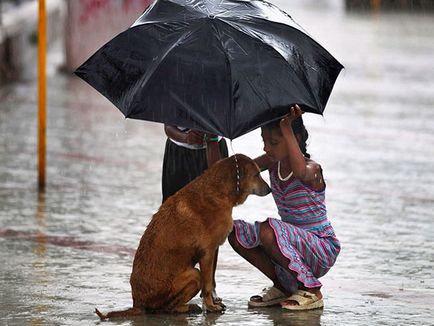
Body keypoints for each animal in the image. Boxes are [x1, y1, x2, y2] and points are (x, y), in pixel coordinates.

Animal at [96, 154, 270, 320]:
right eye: (256, 174)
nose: (269, 189)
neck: (218, 190)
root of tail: (137, 304)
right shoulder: (207, 253)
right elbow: (208, 286)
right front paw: (211, 306)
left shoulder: (211, 252)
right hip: (193, 275)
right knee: (165, 309)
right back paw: (187, 308)